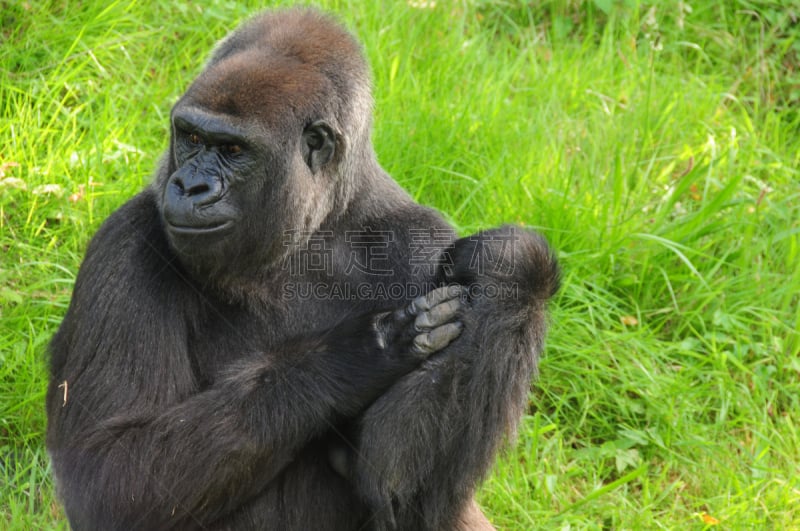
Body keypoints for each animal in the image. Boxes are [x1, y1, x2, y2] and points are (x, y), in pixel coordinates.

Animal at [43, 8, 556, 531]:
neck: (311, 231)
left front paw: (512, 271)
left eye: (233, 151)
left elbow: (403, 487)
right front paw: (351, 356)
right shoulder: (122, 245)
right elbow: (110, 469)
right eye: (191, 138)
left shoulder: (421, 242)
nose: (189, 186)